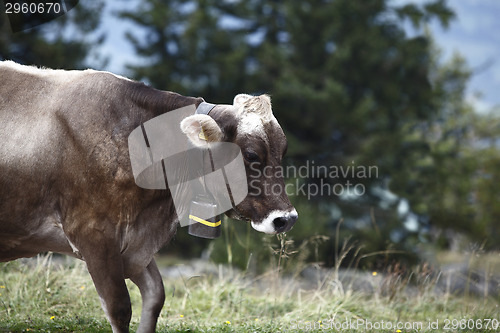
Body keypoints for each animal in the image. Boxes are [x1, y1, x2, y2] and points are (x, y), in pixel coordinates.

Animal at [0, 61, 296, 330]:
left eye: (283, 151)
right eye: (251, 155)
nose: (286, 218)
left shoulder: (134, 244)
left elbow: (155, 296)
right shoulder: (93, 233)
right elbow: (120, 308)